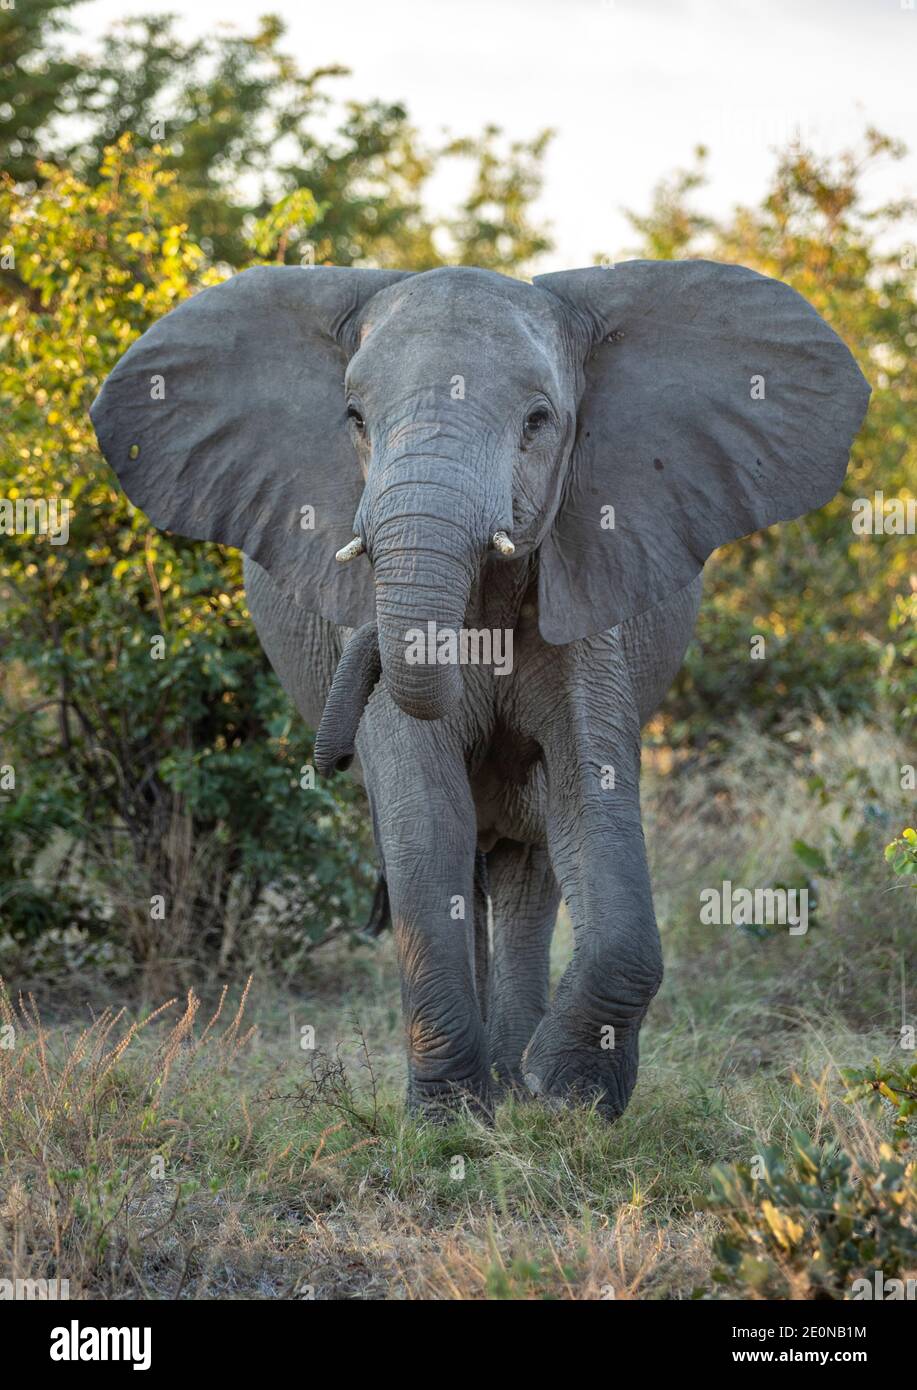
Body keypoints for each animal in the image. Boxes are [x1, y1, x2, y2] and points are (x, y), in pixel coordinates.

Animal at [89, 258, 872, 1117]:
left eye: (537, 421)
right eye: (354, 419)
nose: (328, 757)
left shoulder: (584, 583)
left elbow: (586, 788)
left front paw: (570, 1097)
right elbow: (425, 807)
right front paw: (446, 1120)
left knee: (528, 863)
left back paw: (516, 1085)